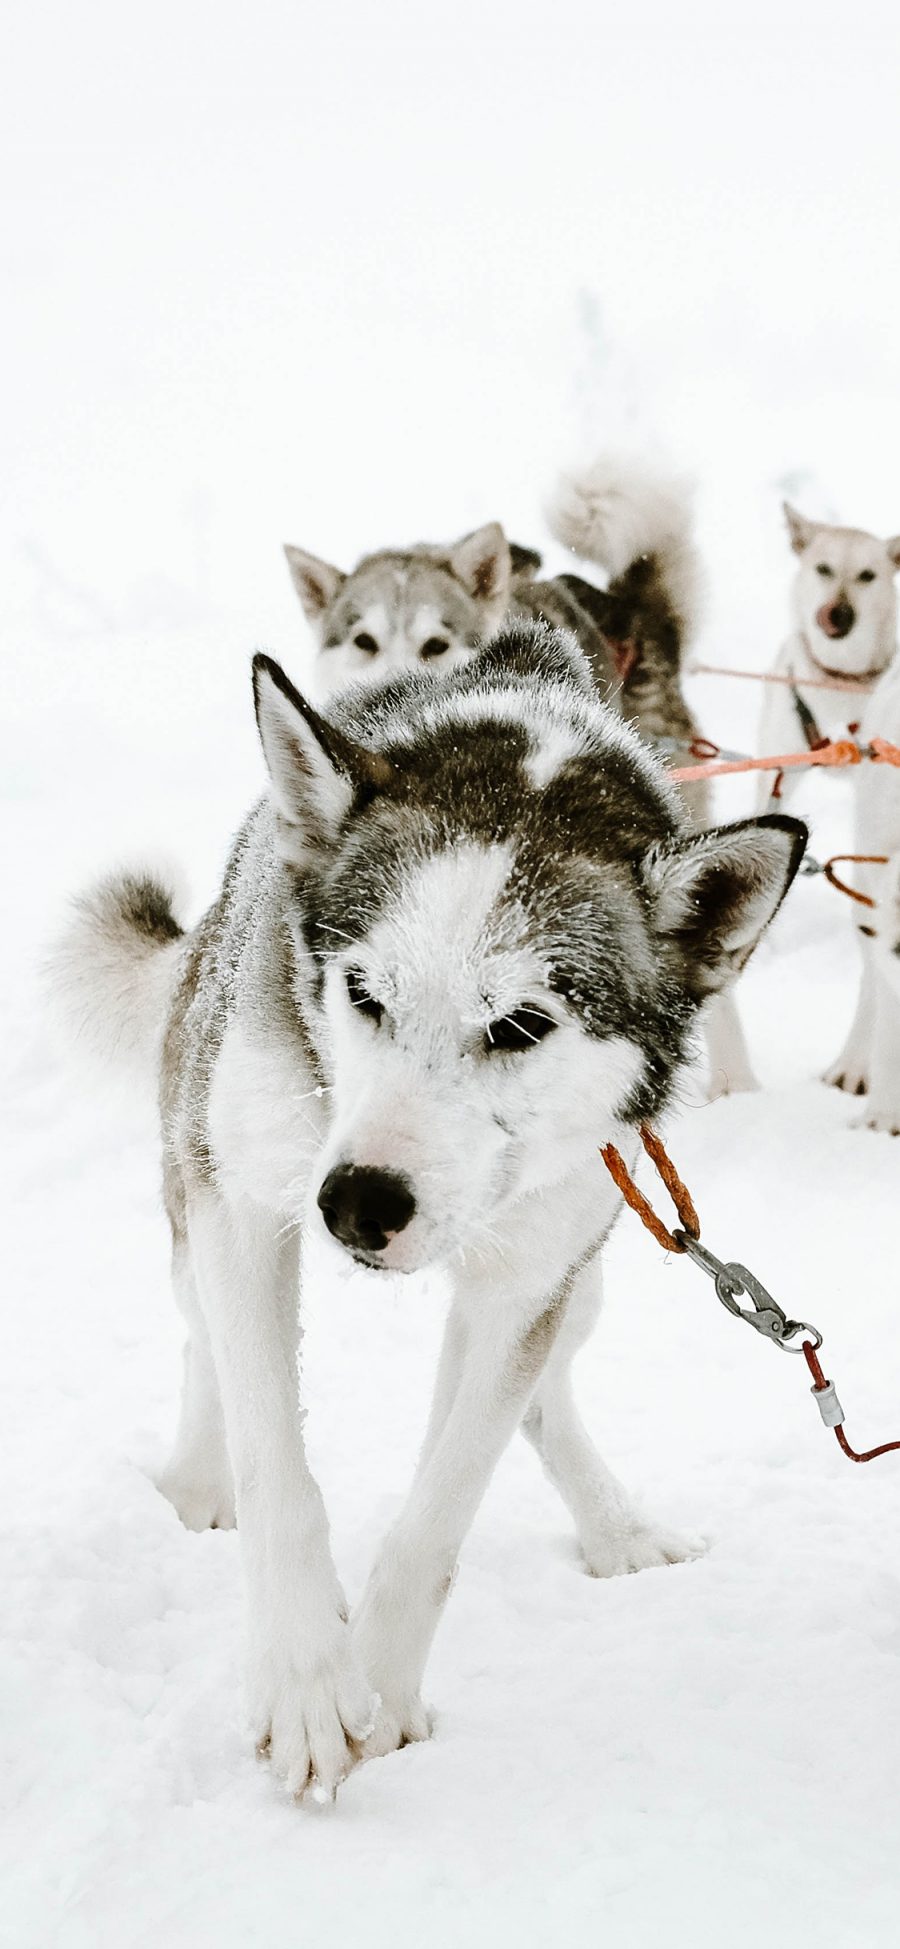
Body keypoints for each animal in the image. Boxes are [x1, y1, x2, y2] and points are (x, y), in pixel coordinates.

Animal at [52, 619, 806, 1793]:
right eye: (364, 994)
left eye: (521, 1024)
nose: (358, 1203)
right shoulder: (246, 1210)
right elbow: (279, 1467)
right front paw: (308, 1678)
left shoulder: (525, 1281)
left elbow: (443, 1504)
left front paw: (383, 1685)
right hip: (198, 1184)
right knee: (202, 1342)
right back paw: (199, 1478)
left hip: (585, 1267)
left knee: (540, 1395)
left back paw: (614, 1528)